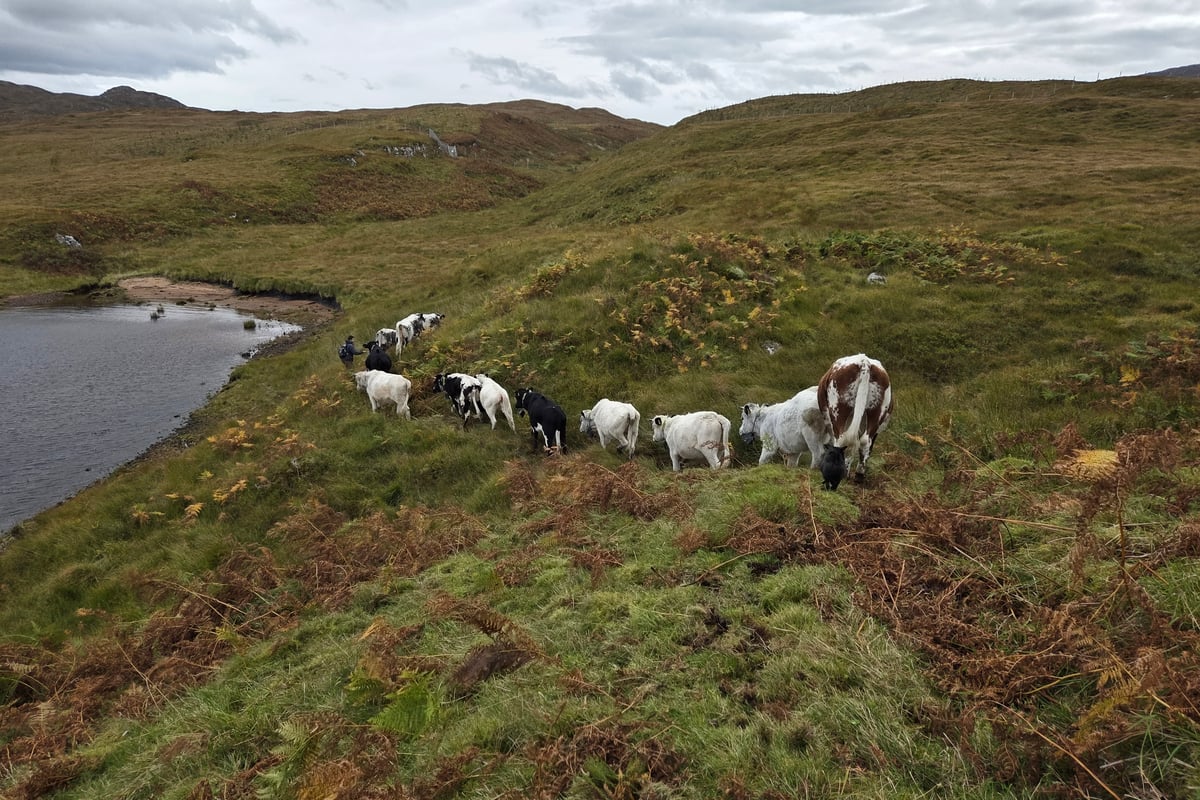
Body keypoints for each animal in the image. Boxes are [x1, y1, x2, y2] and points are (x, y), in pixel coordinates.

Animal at [816, 353, 893, 483]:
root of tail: (864, 361)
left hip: (838, 411)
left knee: (842, 440)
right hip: (876, 413)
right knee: (865, 442)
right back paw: (859, 474)